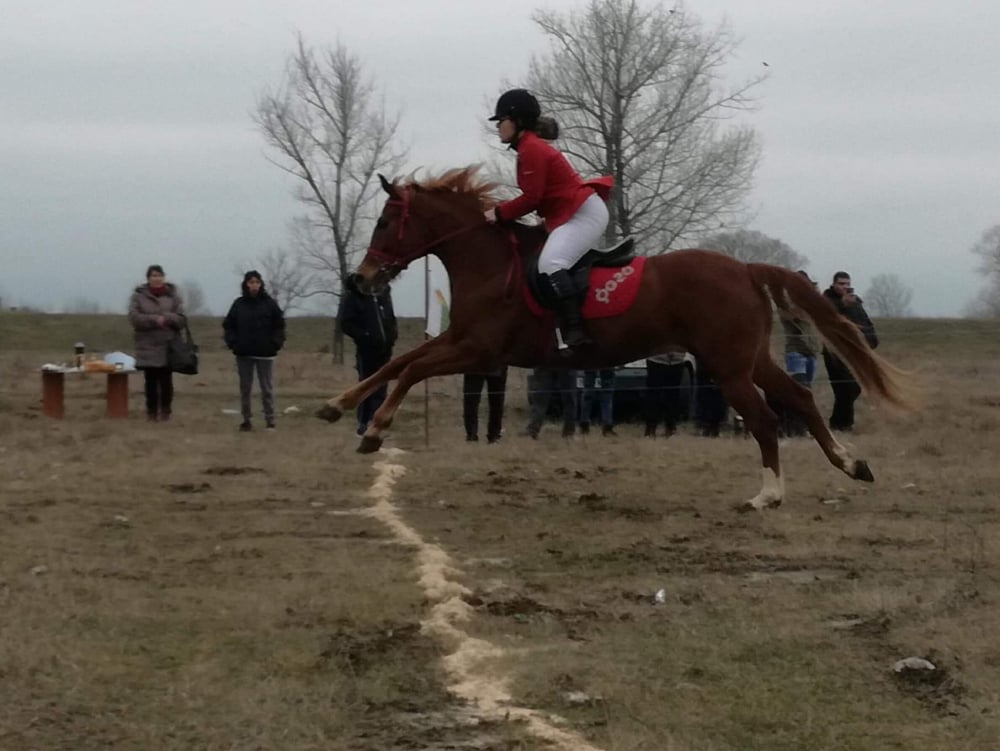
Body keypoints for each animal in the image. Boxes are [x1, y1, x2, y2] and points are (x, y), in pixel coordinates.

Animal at [320, 168, 916, 516]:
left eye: (384, 221)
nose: (361, 280)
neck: (488, 261)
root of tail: (745, 268)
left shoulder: (479, 351)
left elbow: (410, 368)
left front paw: (374, 430)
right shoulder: (461, 341)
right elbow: (397, 361)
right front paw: (338, 406)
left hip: (727, 368)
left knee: (768, 419)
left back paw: (768, 494)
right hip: (746, 361)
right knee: (802, 399)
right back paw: (850, 465)